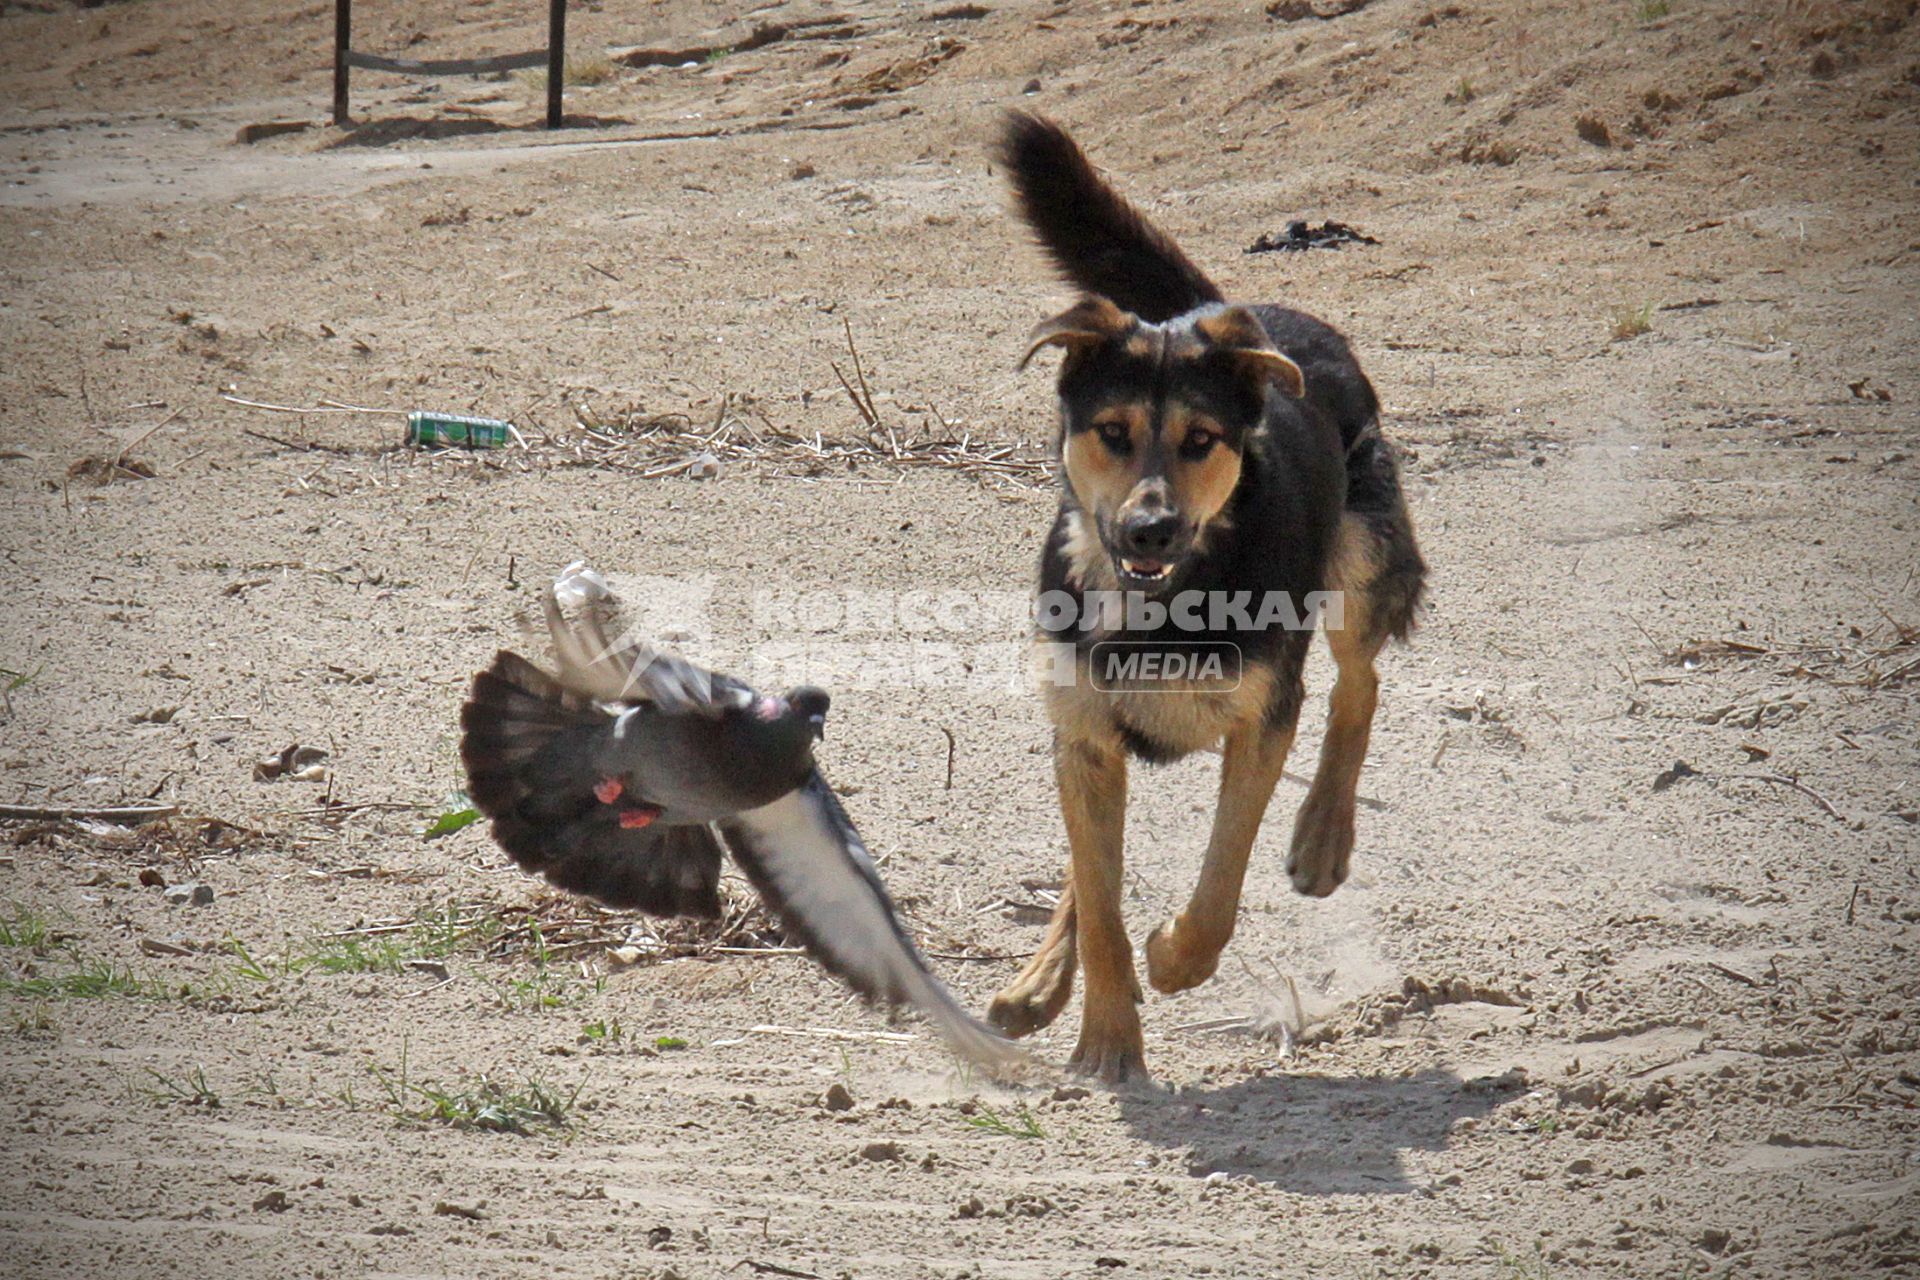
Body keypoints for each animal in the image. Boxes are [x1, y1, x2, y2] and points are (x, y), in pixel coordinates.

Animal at [990, 115, 1428, 1090]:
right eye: (1112, 433)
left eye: (1200, 441)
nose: (1151, 530)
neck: (1164, 599)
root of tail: (1240, 315)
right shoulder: (1083, 731)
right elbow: (1101, 902)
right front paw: (1108, 1037)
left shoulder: (1260, 720)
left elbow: (1221, 883)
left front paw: (1176, 958)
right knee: (1087, 868)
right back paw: (1039, 981)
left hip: (1360, 559)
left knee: (1358, 685)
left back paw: (1323, 835)